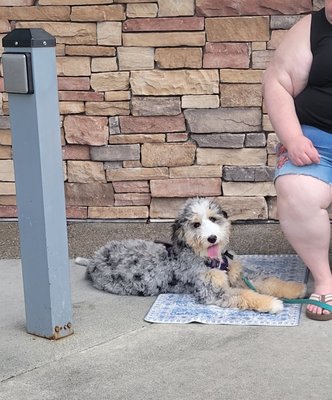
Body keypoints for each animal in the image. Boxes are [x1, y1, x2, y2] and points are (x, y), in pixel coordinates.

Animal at [76, 198, 306, 314]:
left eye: (213, 219)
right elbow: (246, 295)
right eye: (195, 224)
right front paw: (272, 303)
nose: (212, 238)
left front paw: (295, 288)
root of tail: (94, 259)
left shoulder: (240, 275)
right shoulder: (213, 291)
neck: (214, 261)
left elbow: (267, 280)